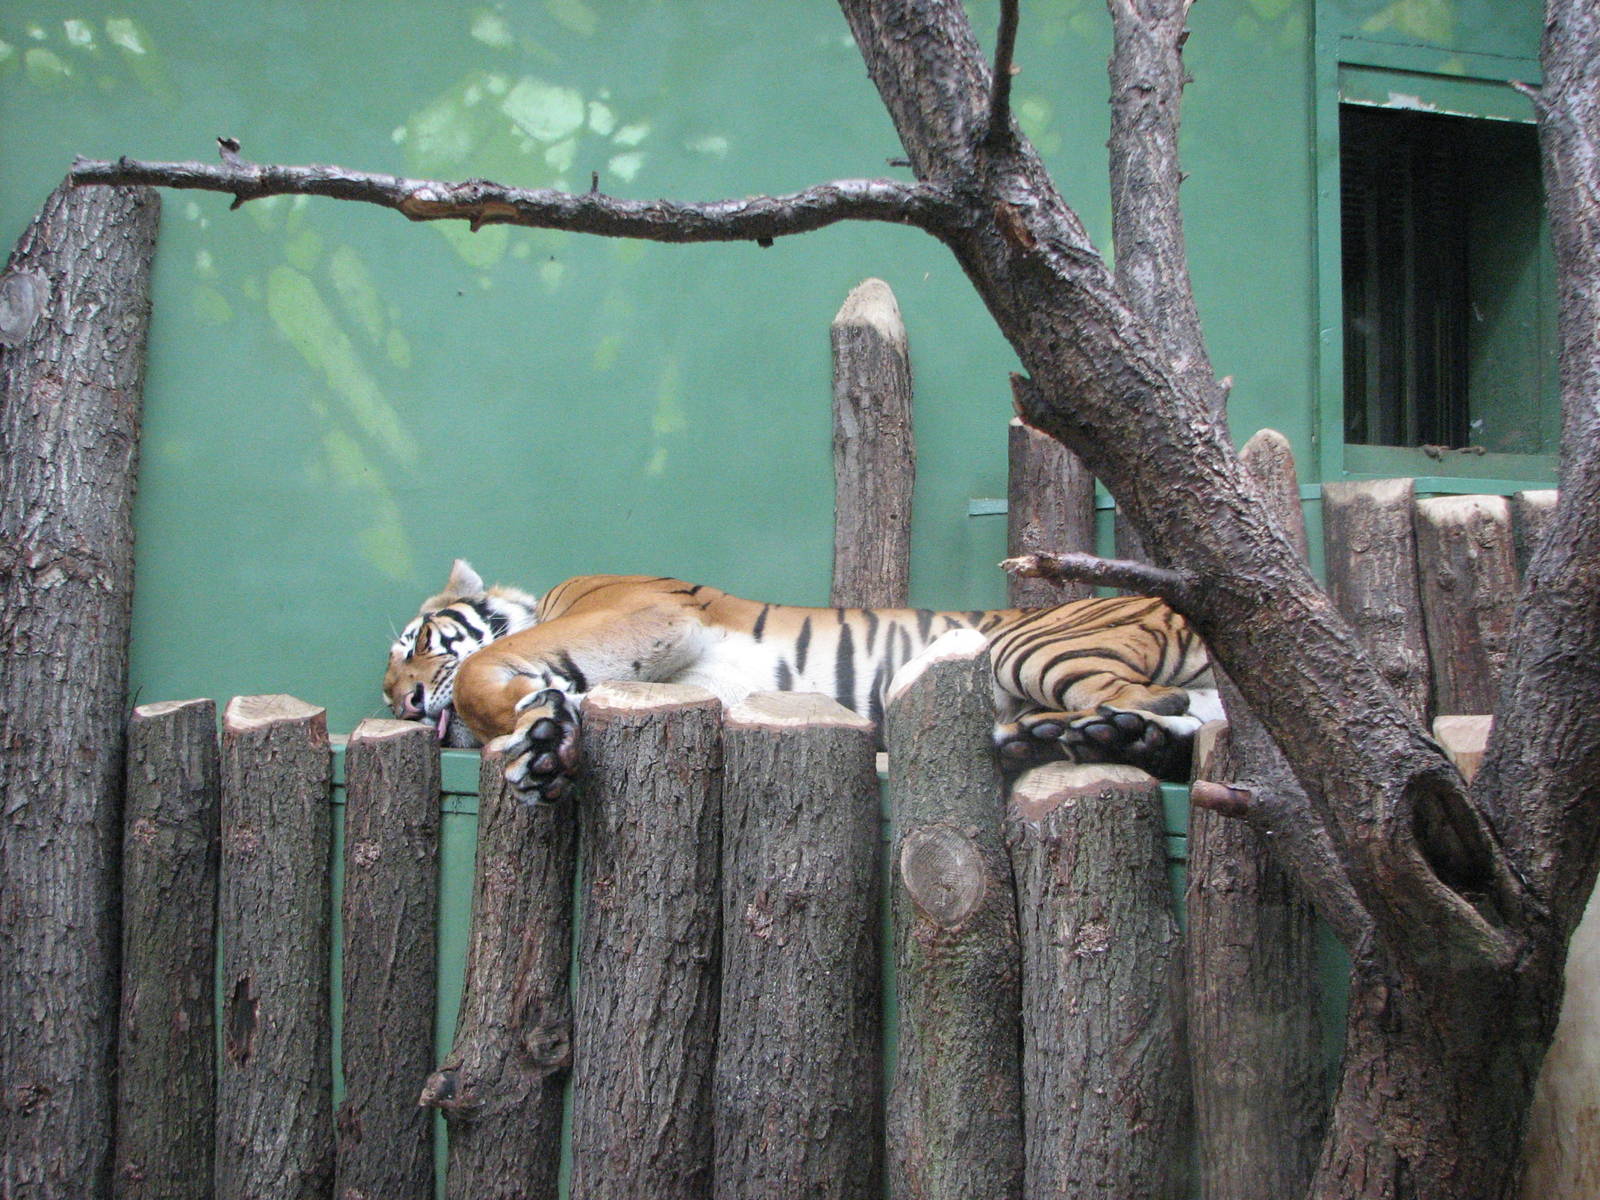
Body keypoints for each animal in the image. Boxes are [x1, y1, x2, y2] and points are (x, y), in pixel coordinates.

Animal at [383, 559, 1220, 803]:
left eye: (417, 642)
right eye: (387, 688)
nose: (404, 701)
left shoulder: (640, 609)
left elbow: (483, 671)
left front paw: (536, 737)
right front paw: (546, 737)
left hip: (1026, 645)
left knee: (1158, 699)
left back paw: (1055, 737)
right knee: (1192, 724)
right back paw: (1077, 739)